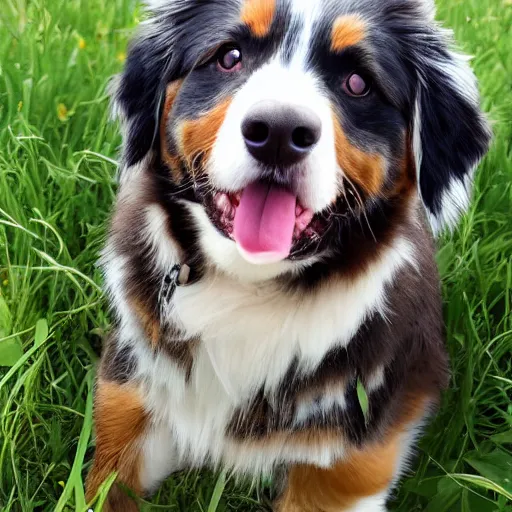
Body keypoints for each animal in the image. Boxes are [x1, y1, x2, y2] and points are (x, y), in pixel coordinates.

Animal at [85, 1, 492, 508]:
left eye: (358, 82)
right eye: (229, 56)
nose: (278, 131)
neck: (246, 286)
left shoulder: (349, 461)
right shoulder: (131, 395)